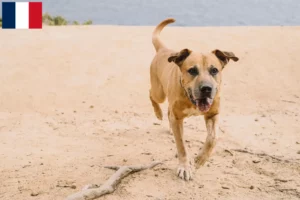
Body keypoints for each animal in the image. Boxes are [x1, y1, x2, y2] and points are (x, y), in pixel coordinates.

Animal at [149, 18, 238, 181]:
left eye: (214, 70)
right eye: (192, 70)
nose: (206, 89)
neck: (190, 98)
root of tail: (163, 50)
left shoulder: (212, 114)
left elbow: (213, 138)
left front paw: (200, 159)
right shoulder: (178, 119)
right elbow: (182, 146)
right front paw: (185, 167)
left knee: (168, 110)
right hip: (159, 92)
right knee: (151, 94)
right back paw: (158, 112)